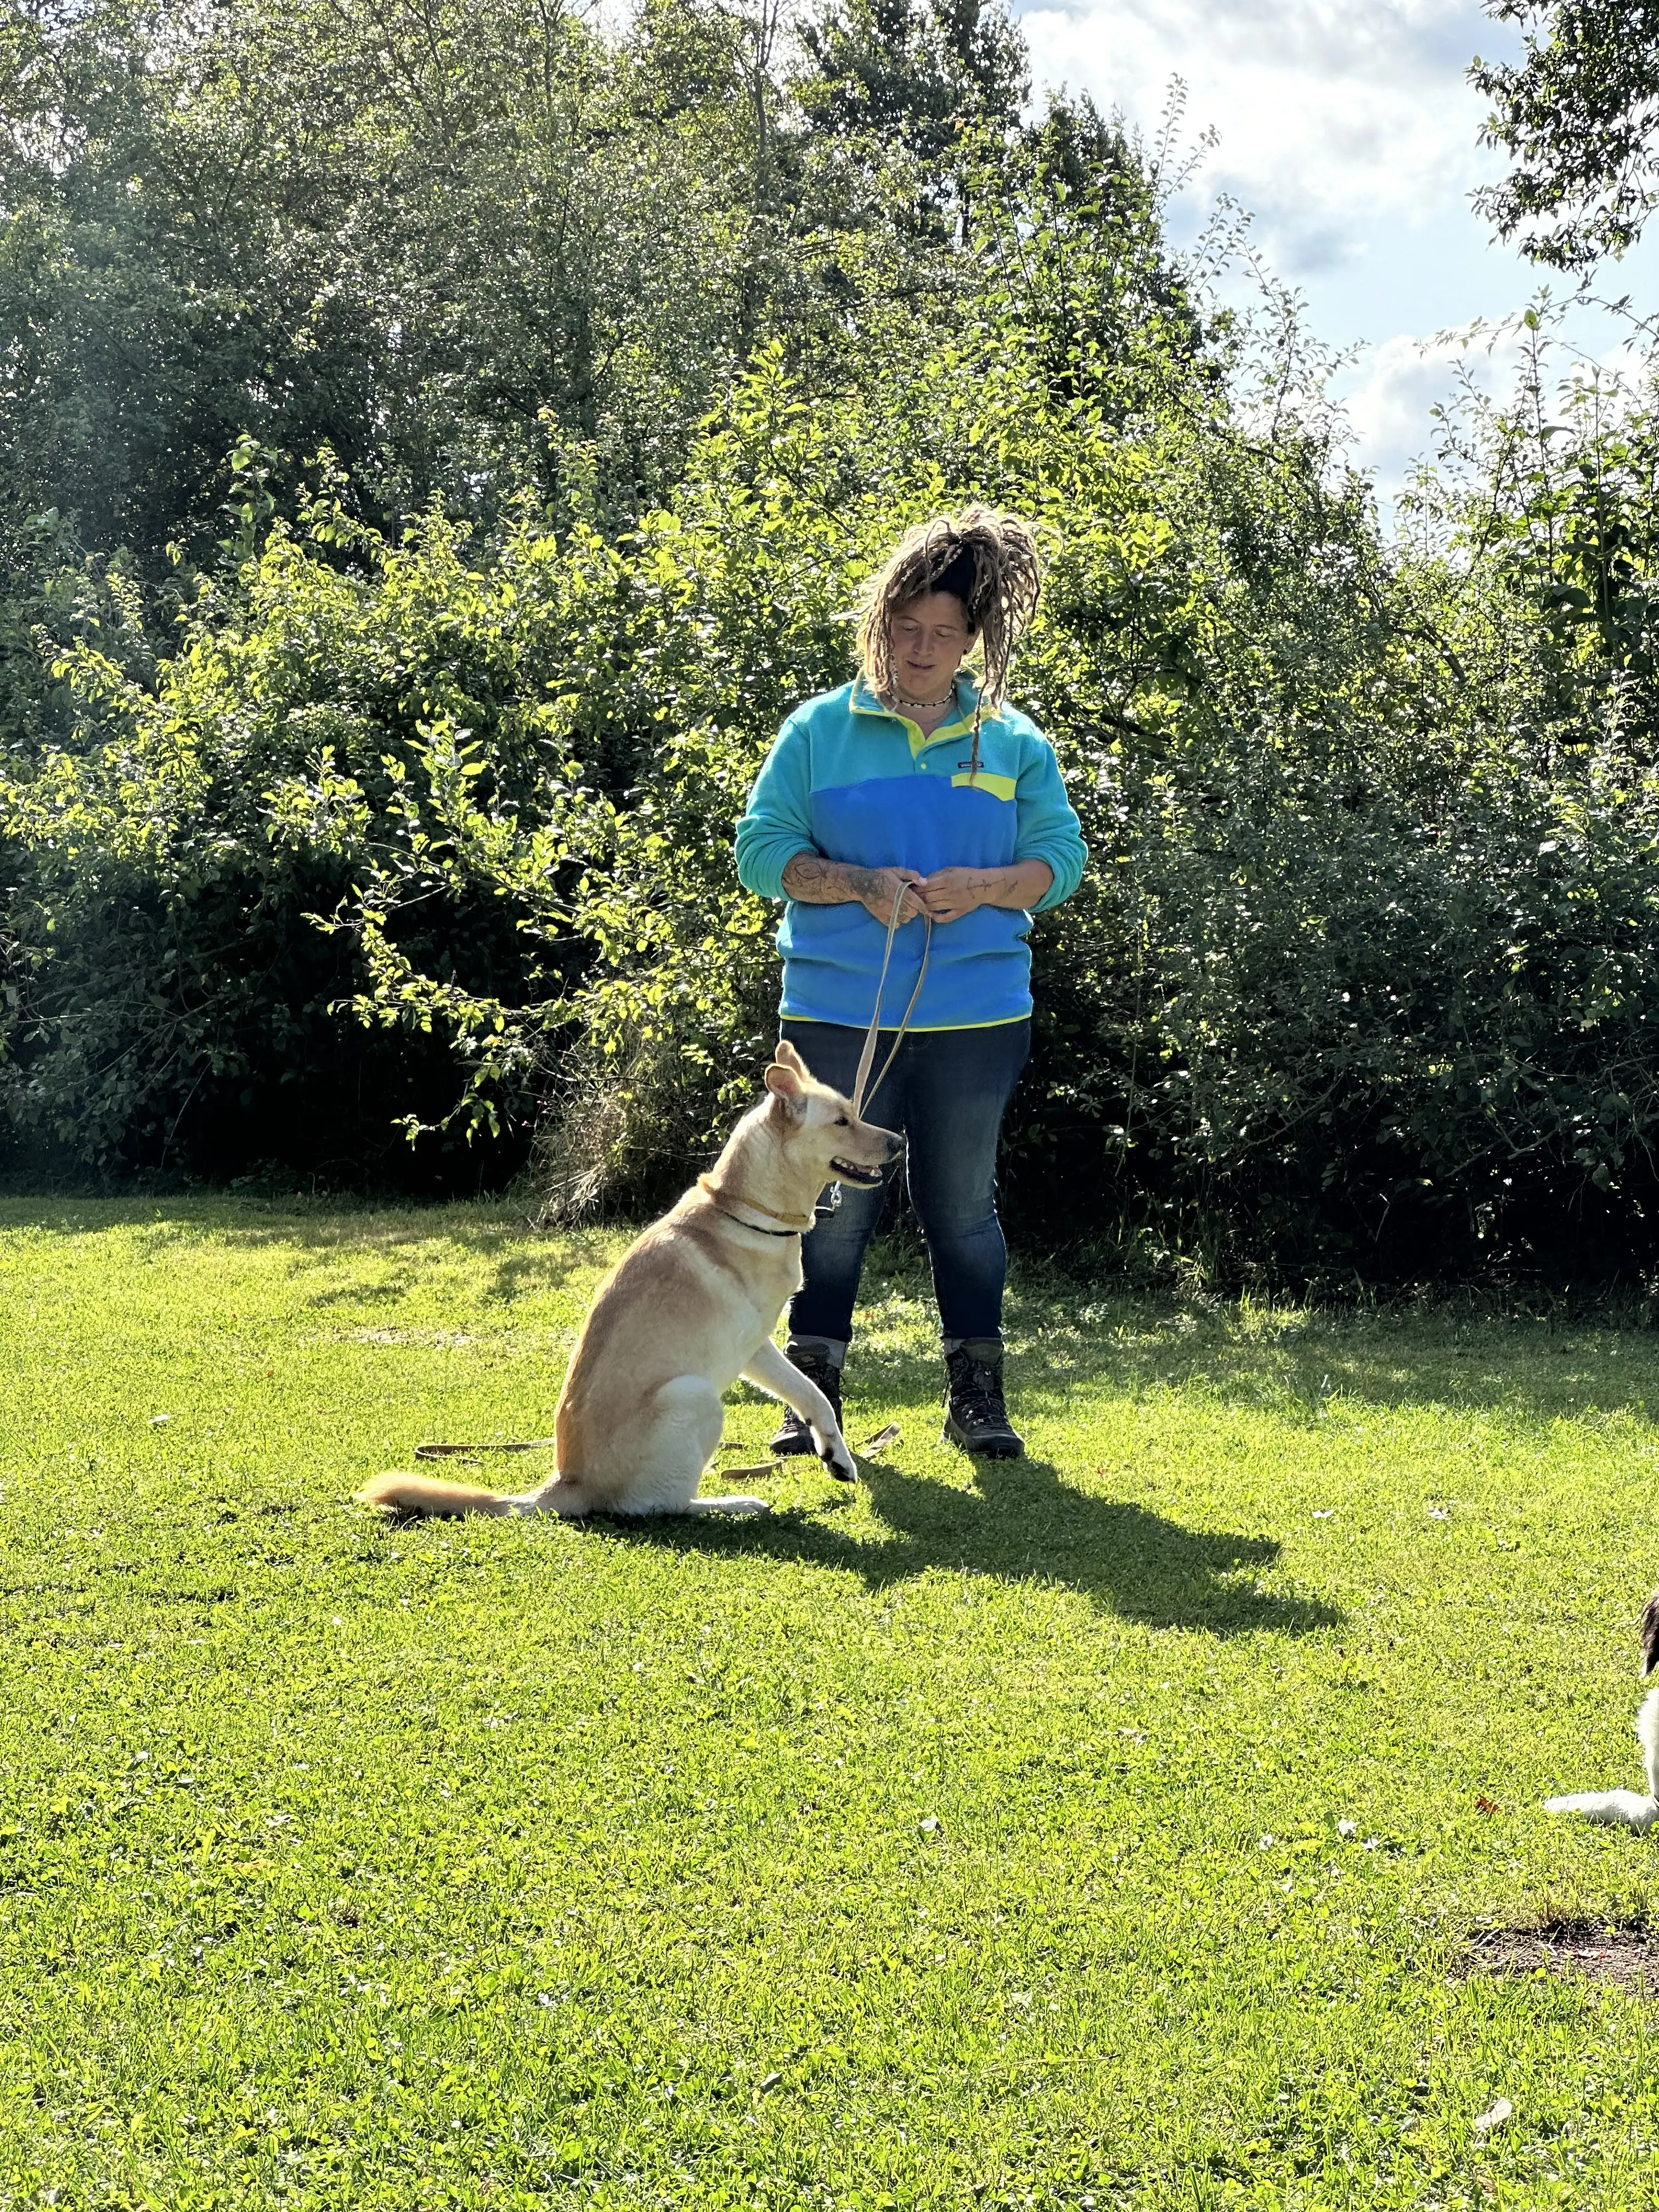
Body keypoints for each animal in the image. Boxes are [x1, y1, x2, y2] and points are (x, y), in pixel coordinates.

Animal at [354, 1040, 898, 1522]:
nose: (900, 1141)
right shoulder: (749, 1346)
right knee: (654, 1506)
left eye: (853, 1113)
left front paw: (837, 1457)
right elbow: (811, 1393)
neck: (743, 1212)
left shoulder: (758, 1348)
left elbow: (813, 1395)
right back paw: (733, 1503)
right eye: (842, 1121)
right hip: (695, 1397)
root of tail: (565, 1485)